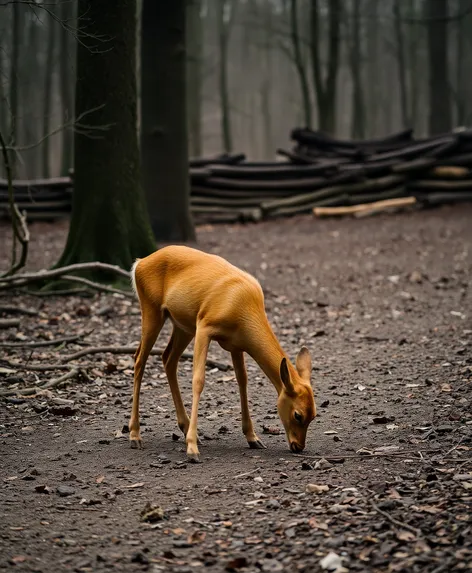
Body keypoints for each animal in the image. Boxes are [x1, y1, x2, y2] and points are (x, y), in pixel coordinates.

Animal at [129, 245, 318, 460]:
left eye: (314, 415)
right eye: (298, 415)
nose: (298, 446)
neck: (243, 309)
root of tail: (139, 263)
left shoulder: (236, 344)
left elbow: (242, 380)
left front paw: (253, 438)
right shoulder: (204, 325)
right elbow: (198, 380)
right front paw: (192, 448)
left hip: (182, 326)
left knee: (168, 358)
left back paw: (183, 427)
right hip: (152, 310)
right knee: (139, 359)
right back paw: (135, 435)